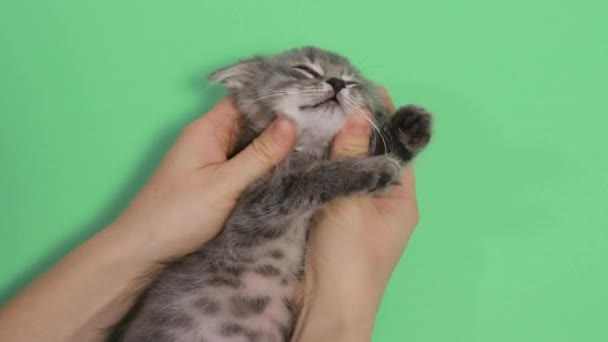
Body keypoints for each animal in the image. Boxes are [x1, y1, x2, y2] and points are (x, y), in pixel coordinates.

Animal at [108, 46, 432, 342]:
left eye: (352, 82)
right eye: (305, 69)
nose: (337, 82)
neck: (307, 148)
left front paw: (407, 128)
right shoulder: (248, 215)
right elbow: (307, 179)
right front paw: (368, 169)